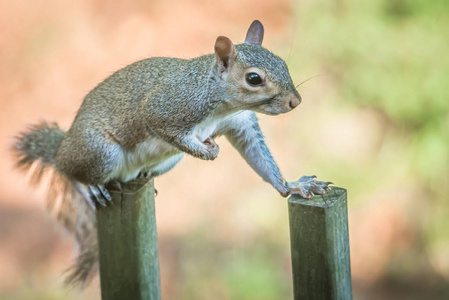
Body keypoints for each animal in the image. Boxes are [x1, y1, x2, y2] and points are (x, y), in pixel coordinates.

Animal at [12, 19, 330, 288]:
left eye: (283, 63)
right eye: (253, 78)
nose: (295, 101)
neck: (219, 100)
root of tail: (61, 149)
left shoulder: (241, 125)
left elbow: (260, 158)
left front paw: (292, 186)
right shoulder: (165, 109)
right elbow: (166, 128)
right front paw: (209, 151)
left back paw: (144, 177)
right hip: (98, 152)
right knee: (74, 174)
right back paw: (92, 188)